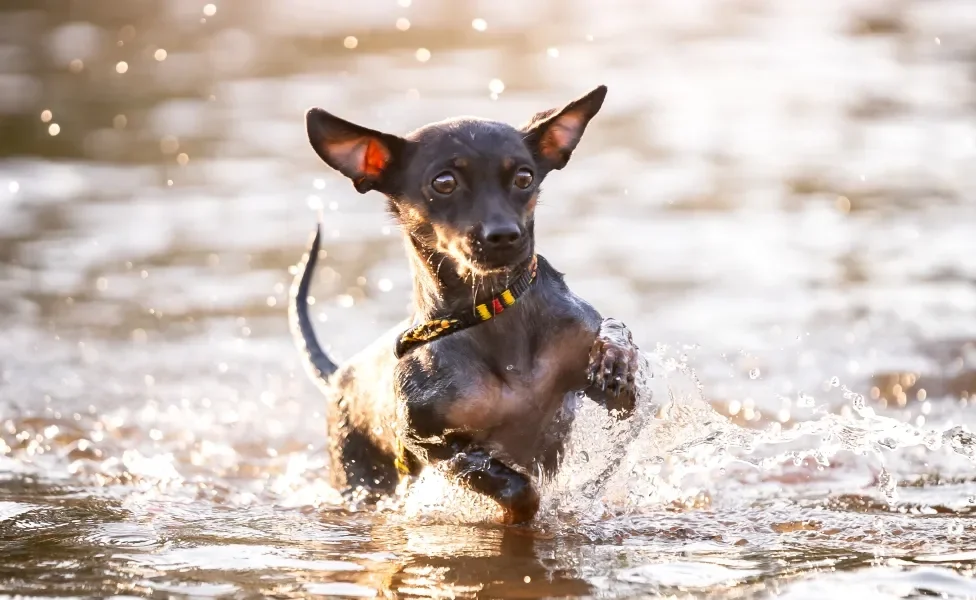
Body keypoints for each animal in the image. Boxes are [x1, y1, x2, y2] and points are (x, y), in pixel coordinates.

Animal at [290, 85, 640, 524]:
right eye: (444, 182)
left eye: (524, 177)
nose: (505, 235)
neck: (493, 309)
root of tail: (339, 374)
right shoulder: (428, 441)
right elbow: (503, 480)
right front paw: (514, 508)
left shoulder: (605, 387)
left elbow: (615, 334)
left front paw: (614, 361)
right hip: (360, 476)